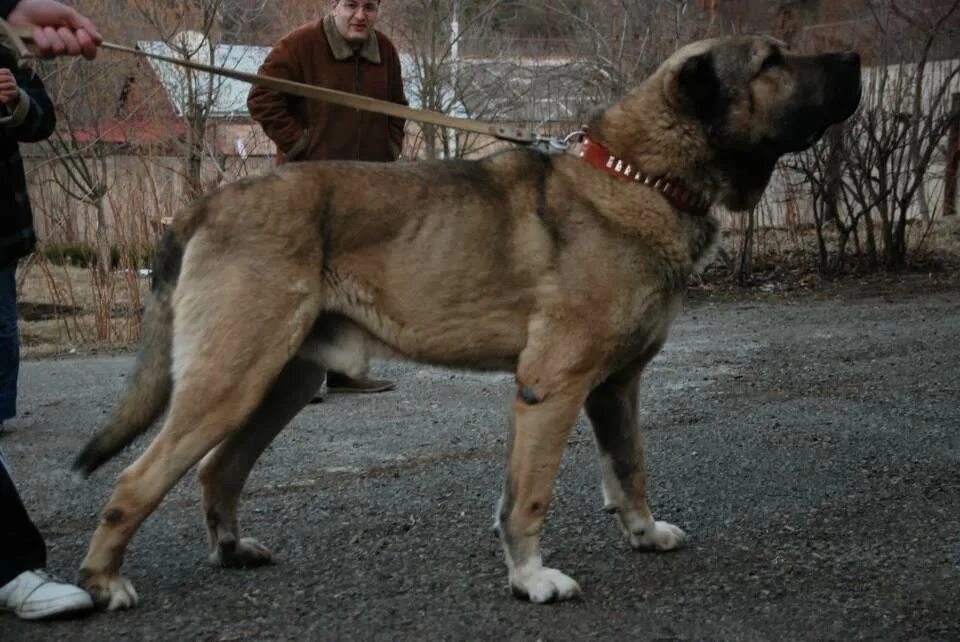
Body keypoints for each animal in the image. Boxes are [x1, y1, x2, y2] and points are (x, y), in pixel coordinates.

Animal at [71, 35, 860, 604]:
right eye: (772, 61)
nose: (854, 60)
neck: (640, 176)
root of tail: (204, 204)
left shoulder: (616, 387)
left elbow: (630, 467)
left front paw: (643, 534)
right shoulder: (552, 387)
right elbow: (530, 495)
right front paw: (531, 579)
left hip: (282, 384)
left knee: (218, 469)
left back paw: (230, 549)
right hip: (231, 381)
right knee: (136, 481)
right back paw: (104, 581)